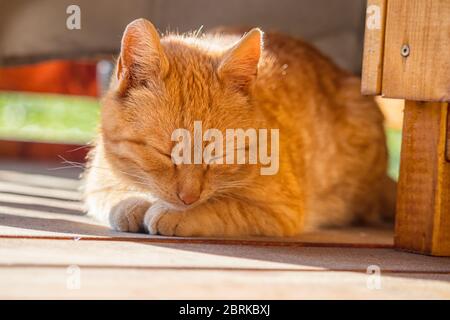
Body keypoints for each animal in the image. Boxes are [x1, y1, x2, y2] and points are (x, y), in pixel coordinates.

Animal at [82, 18, 396, 238]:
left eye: (217, 155)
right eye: (164, 153)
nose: (188, 198)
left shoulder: (280, 210)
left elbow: (225, 206)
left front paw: (174, 212)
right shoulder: (98, 183)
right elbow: (118, 198)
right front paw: (135, 203)